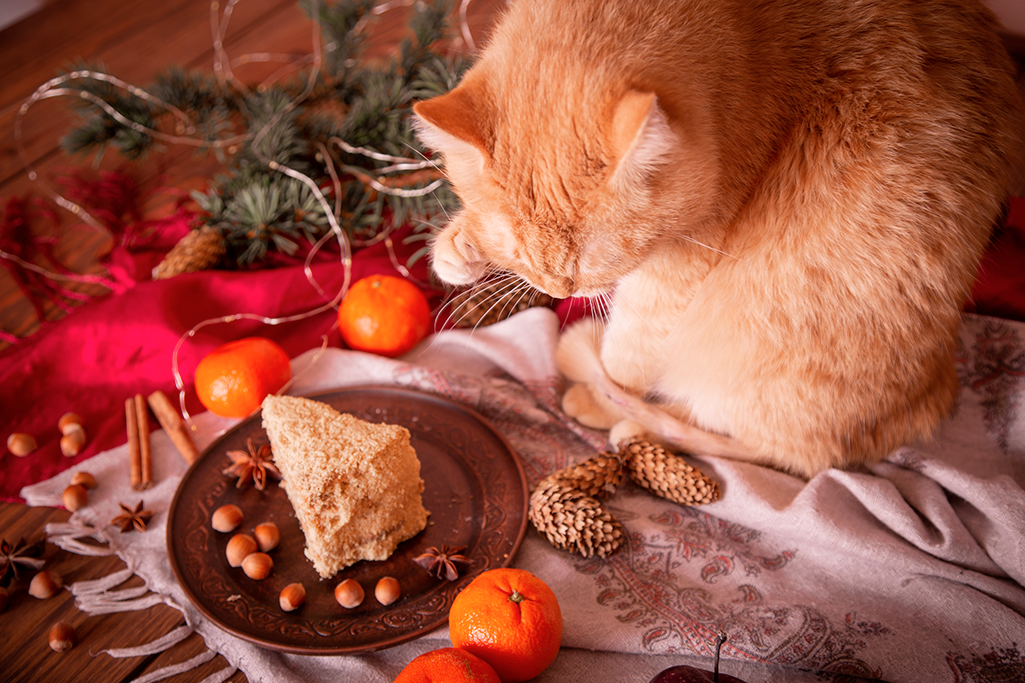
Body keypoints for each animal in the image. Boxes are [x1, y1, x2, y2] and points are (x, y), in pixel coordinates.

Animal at [414, 0, 1025, 475]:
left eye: (596, 262)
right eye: (522, 257)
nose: (561, 293)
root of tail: (933, 392)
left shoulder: (678, 267)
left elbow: (628, 353)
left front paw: (610, 388)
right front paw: (460, 248)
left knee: (772, 449)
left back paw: (625, 416)